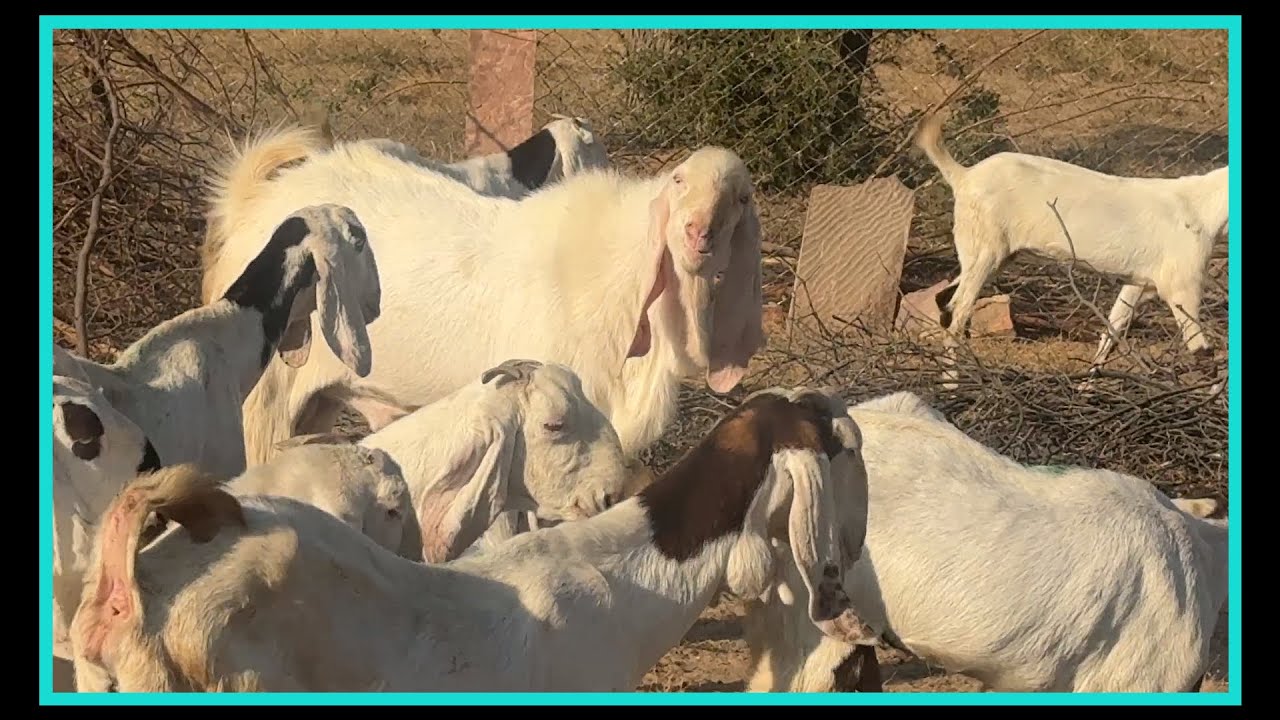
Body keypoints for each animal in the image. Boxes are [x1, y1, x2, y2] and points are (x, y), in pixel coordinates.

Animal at [198, 124, 765, 468]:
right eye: (678, 181)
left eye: (741, 198)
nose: (698, 234)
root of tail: (254, 200)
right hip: (265, 400)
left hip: (319, 398)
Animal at [913, 112, 1229, 368]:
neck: (1202, 207)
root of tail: (963, 176)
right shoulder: (1182, 287)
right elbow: (1202, 352)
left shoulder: (1138, 284)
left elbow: (1110, 336)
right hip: (985, 252)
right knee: (957, 316)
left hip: (993, 256)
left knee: (946, 302)